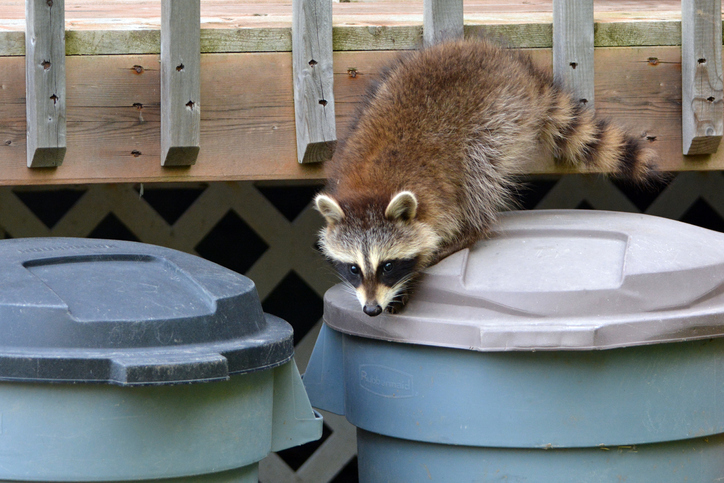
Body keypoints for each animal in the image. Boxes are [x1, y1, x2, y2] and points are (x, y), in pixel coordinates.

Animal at [314, 37, 660, 318]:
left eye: (387, 265)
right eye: (353, 268)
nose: (371, 309)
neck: (373, 188)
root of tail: (517, 69)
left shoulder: (439, 197)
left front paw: (417, 270)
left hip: (497, 119)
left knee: (479, 171)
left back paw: (474, 227)